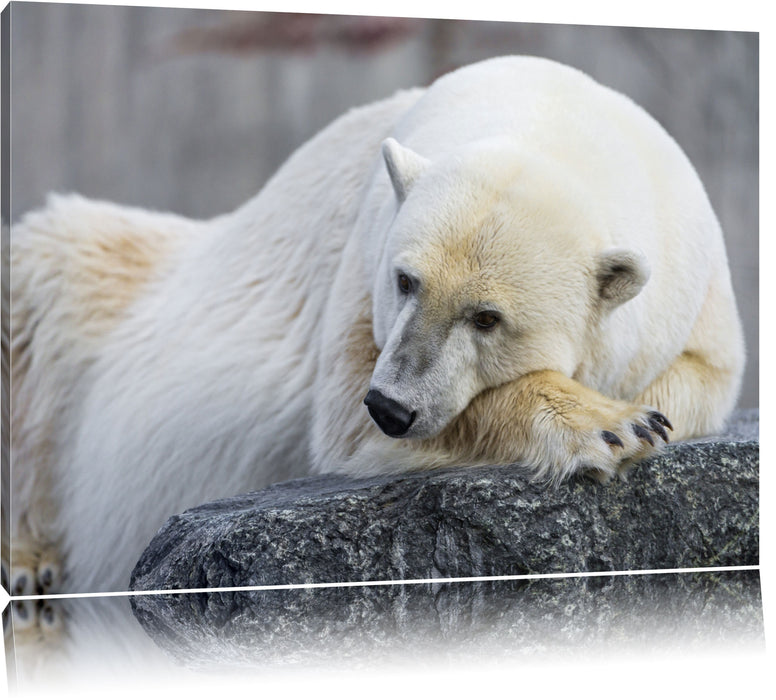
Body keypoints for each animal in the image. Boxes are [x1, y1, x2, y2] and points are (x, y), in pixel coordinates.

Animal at [7, 56, 744, 596]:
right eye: (405, 279)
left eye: (487, 317)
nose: (392, 406)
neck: (555, 115)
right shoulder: (360, 261)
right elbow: (345, 423)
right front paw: (607, 425)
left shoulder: (693, 283)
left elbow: (698, 375)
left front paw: (639, 415)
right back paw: (26, 558)